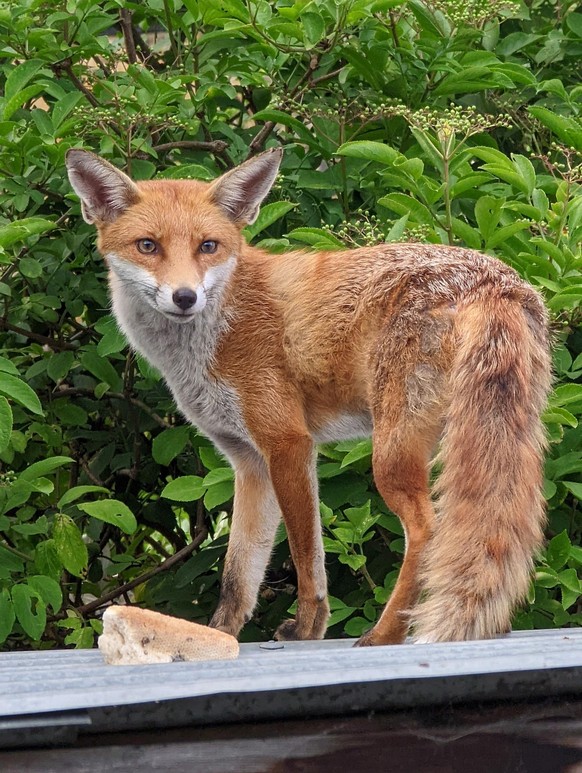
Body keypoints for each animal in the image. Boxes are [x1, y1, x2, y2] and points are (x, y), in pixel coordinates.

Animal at [66, 146, 556, 644]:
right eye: (148, 246)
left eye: (208, 246)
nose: (185, 297)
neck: (218, 326)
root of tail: (498, 281)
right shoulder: (248, 461)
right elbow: (238, 573)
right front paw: (221, 635)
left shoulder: (288, 443)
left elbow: (306, 556)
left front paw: (306, 628)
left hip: (391, 452)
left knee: (428, 530)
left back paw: (385, 635)